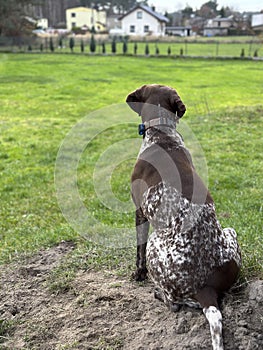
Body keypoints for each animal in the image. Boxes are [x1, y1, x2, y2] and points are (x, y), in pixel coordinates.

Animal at [127, 85, 242, 350]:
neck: (162, 134)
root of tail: (205, 287)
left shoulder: (139, 212)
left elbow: (138, 251)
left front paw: (138, 275)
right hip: (230, 233)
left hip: (156, 245)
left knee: (173, 302)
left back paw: (158, 293)